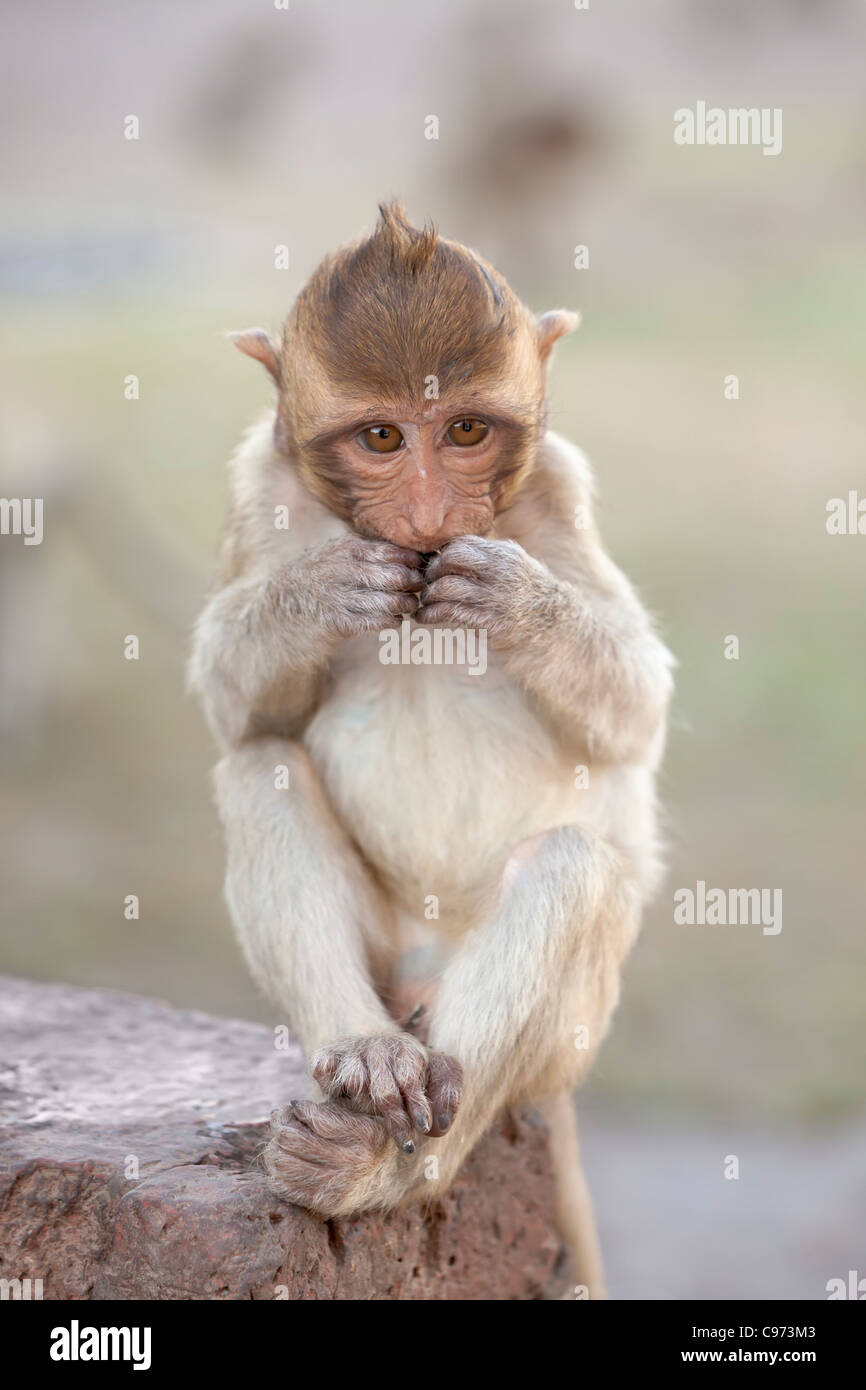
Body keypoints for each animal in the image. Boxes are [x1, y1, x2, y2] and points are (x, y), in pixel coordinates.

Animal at [193, 201, 675, 1295]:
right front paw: (323, 592)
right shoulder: (256, 484)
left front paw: (516, 601)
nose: (424, 518)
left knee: (569, 865)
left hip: (569, 1036)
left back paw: (391, 1166)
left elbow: (637, 704)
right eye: (381, 435)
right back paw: (368, 1063)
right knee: (258, 771)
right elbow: (235, 712)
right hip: (386, 955)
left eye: (464, 430)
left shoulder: (558, 486)